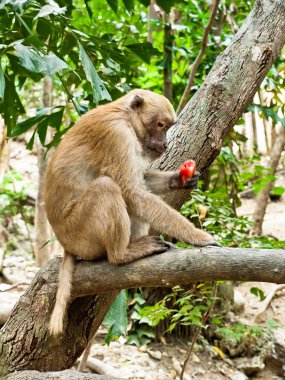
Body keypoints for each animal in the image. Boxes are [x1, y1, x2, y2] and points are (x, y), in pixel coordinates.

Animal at [45, 89, 217, 336]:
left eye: (167, 127)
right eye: (160, 124)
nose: (165, 144)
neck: (125, 116)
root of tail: (66, 243)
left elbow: (140, 183)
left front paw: (180, 179)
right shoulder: (117, 136)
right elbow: (132, 191)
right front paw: (197, 236)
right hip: (80, 234)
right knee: (107, 186)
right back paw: (122, 254)